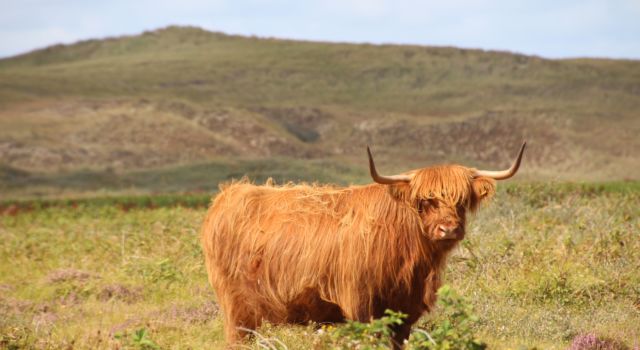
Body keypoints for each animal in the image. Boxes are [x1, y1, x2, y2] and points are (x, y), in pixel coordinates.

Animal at [199, 142, 524, 348]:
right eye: (424, 201)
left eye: (462, 200)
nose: (448, 229)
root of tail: (228, 195)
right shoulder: (360, 305)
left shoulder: (404, 313)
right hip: (239, 310)